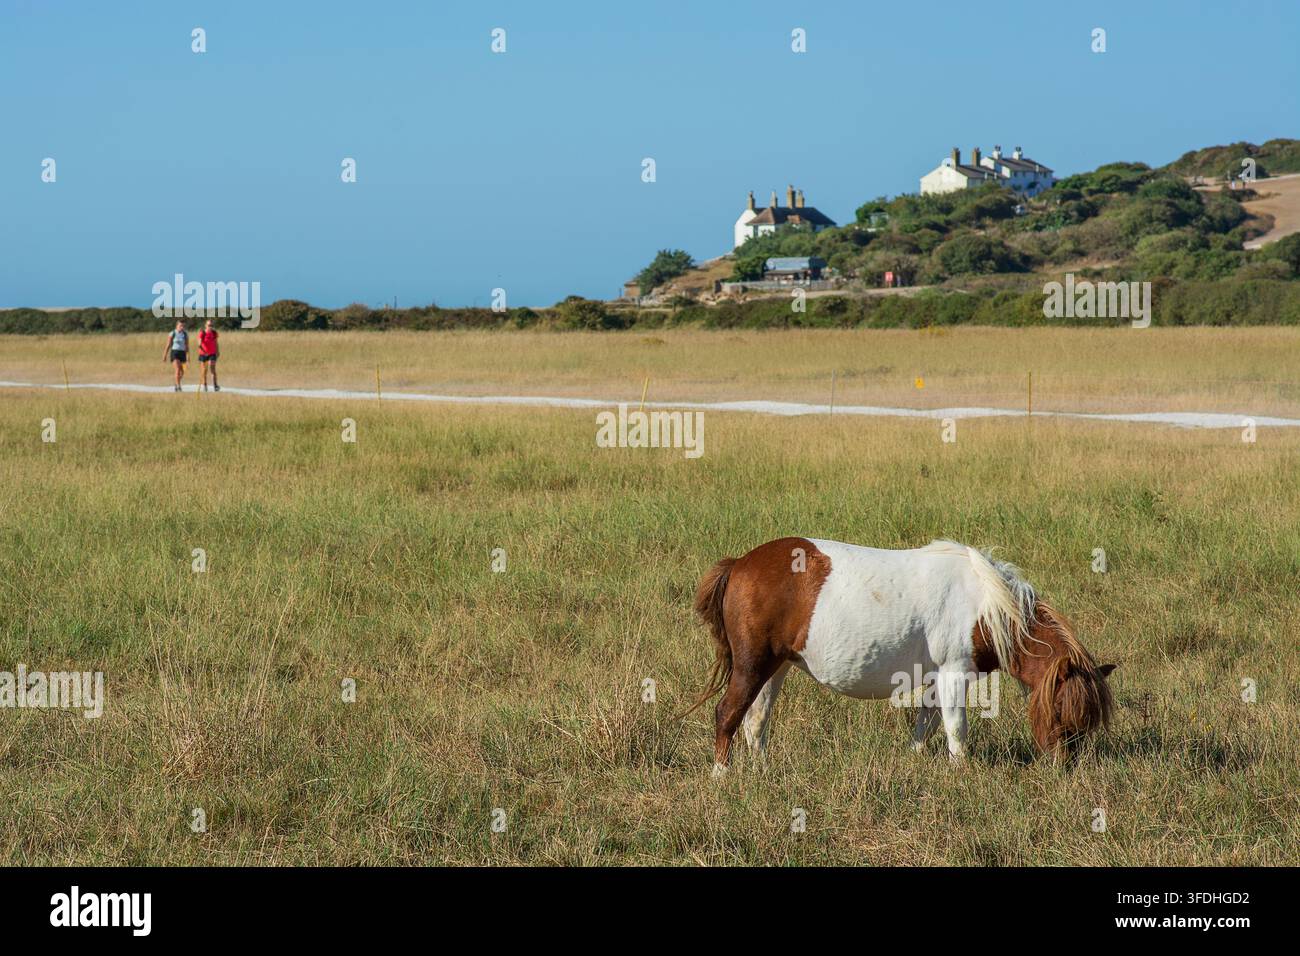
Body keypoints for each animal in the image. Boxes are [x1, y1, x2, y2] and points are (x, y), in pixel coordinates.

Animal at [683, 537, 1115, 775]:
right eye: (1062, 711)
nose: (1065, 767)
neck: (987, 606)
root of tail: (740, 564)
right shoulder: (954, 673)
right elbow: (956, 727)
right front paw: (961, 772)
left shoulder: (935, 677)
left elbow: (926, 722)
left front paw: (917, 758)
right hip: (752, 665)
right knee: (727, 714)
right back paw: (722, 775)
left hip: (775, 667)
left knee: (755, 720)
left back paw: (761, 770)